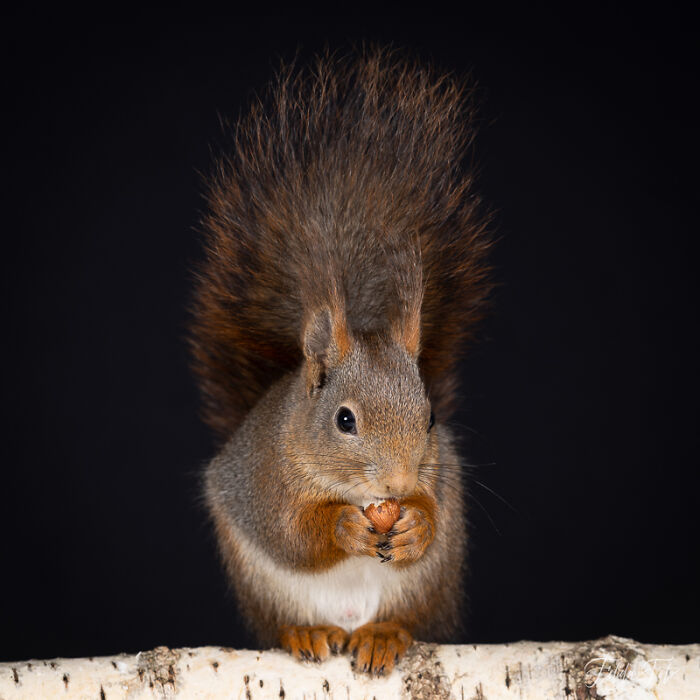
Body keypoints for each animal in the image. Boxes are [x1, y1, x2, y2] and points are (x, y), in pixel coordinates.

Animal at [189, 48, 492, 676]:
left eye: (430, 418)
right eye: (344, 420)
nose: (400, 483)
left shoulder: (439, 474)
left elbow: (432, 513)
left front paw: (416, 521)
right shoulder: (264, 480)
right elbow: (294, 534)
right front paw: (342, 526)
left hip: (427, 585)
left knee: (407, 617)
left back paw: (384, 635)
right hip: (264, 588)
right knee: (287, 616)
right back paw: (306, 632)